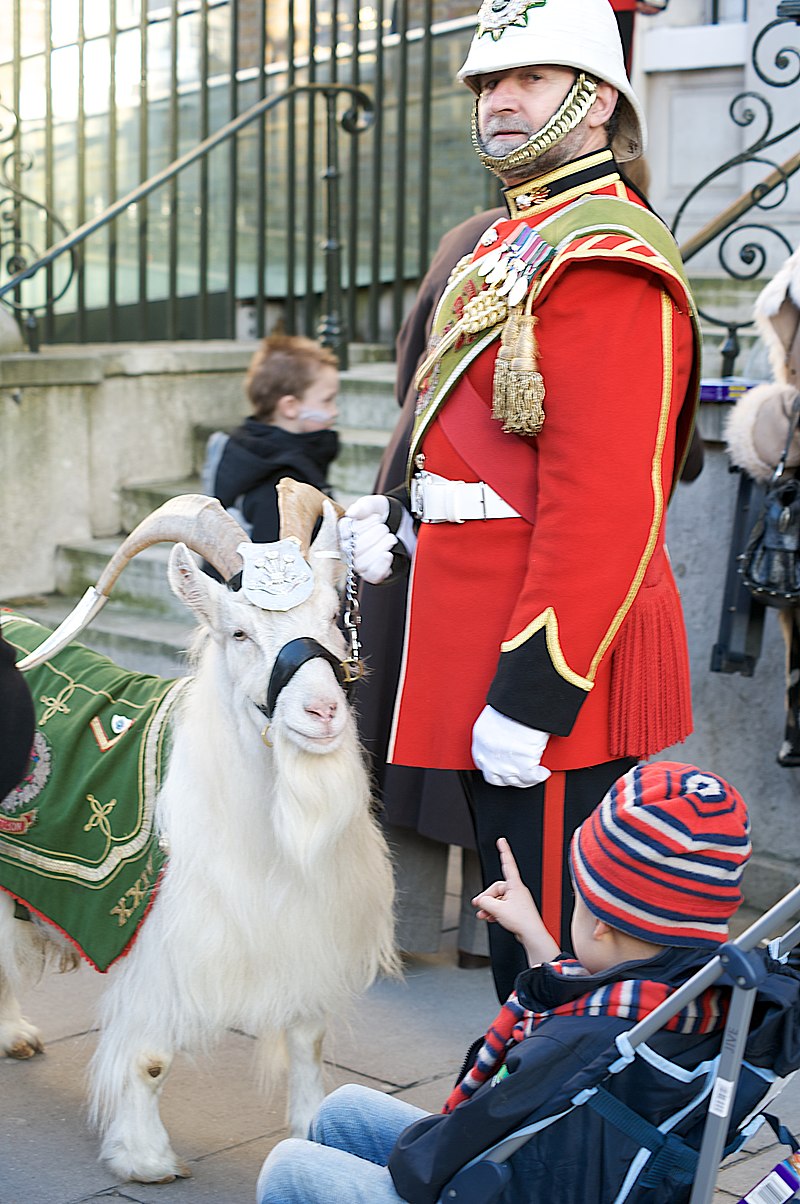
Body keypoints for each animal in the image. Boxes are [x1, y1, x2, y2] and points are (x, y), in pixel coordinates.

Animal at [0, 481, 397, 1184]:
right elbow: (152, 1057)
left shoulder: (306, 933)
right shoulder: (162, 948)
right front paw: (146, 1158)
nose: (322, 712)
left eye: (332, 617)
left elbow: (308, 1037)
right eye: (239, 632)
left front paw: (315, 1130)